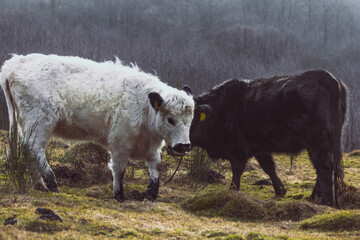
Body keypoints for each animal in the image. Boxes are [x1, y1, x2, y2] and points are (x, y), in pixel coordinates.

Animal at [0, 53, 194, 202]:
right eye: (170, 119)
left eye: (191, 119)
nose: (184, 146)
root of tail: (15, 62)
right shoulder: (120, 142)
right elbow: (119, 170)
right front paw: (119, 196)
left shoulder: (151, 147)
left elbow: (154, 169)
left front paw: (151, 194)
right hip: (39, 122)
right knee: (35, 148)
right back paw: (51, 182)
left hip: (26, 123)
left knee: (27, 149)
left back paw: (39, 185)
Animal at [190, 70, 348, 206]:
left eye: (192, 119)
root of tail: (326, 77)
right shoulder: (260, 147)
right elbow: (269, 167)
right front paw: (280, 190)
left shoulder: (237, 148)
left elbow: (237, 169)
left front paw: (232, 191)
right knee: (323, 166)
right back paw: (314, 196)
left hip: (316, 140)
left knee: (324, 166)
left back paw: (326, 201)